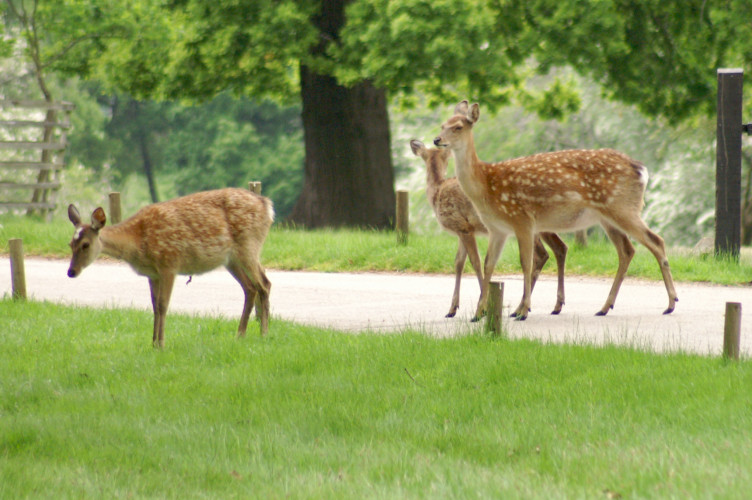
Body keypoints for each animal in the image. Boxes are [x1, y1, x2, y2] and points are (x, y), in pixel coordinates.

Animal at [67, 187, 274, 348]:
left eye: (85, 244)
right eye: (70, 244)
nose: (71, 272)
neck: (138, 242)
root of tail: (267, 205)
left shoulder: (169, 264)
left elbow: (163, 305)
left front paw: (161, 344)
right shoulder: (152, 274)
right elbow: (154, 306)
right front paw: (153, 343)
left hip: (249, 245)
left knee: (264, 283)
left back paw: (264, 334)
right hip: (231, 259)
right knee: (250, 287)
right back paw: (240, 335)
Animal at [410, 139, 568, 318]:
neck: (437, 192)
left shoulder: (461, 226)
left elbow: (475, 262)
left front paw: (483, 306)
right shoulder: (463, 229)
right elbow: (458, 263)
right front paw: (452, 309)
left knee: (541, 255)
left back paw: (522, 308)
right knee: (560, 248)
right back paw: (553, 306)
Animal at [434, 101, 678, 320]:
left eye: (458, 127)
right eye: (442, 125)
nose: (437, 139)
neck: (486, 185)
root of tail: (642, 170)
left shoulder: (522, 219)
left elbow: (526, 262)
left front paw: (523, 312)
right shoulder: (498, 229)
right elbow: (488, 265)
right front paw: (478, 314)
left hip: (622, 207)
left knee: (656, 241)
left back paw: (670, 303)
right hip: (608, 217)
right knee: (627, 250)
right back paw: (604, 307)